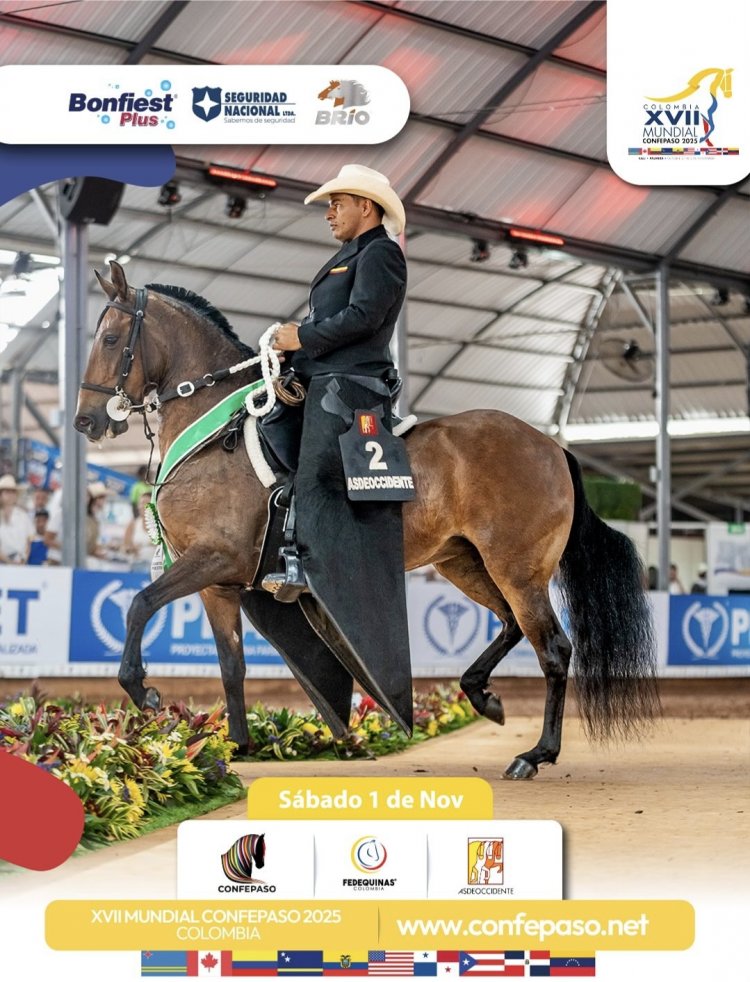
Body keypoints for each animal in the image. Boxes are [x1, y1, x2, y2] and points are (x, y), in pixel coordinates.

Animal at [74, 261, 659, 780]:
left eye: (110, 339)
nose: (86, 421)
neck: (216, 431)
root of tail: (552, 445)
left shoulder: (211, 558)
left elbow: (139, 604)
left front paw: (143, 690)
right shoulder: (219, 584)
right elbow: (231, 665)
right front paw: (235, 750)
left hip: (517, 568)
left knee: (554, 650)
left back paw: (535, 755)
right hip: (465, 563)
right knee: (512, 625)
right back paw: (482, 697)